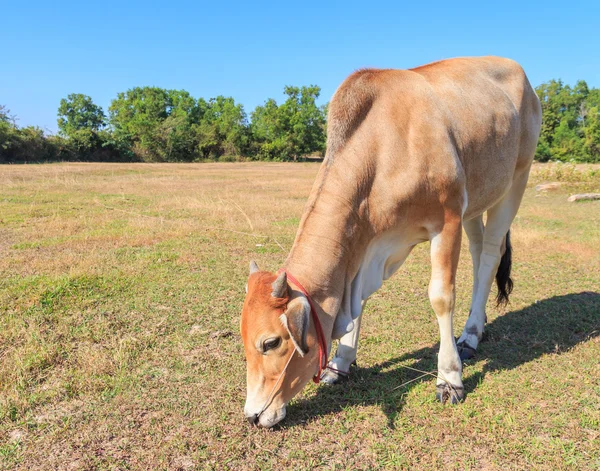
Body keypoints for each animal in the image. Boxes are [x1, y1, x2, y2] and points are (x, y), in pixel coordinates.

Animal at [240, 55, 544, 428]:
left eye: (270, 343)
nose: (253, 415)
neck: (383, 149)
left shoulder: (447, 220)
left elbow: (441, 298)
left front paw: (449, 378)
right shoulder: (364, 246)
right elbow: (358, 303)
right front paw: (340, 363)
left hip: (516, 181)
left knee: (490, 254)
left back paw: (471, 333)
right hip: (476, 200)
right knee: (479, 252)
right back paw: (475, 328)